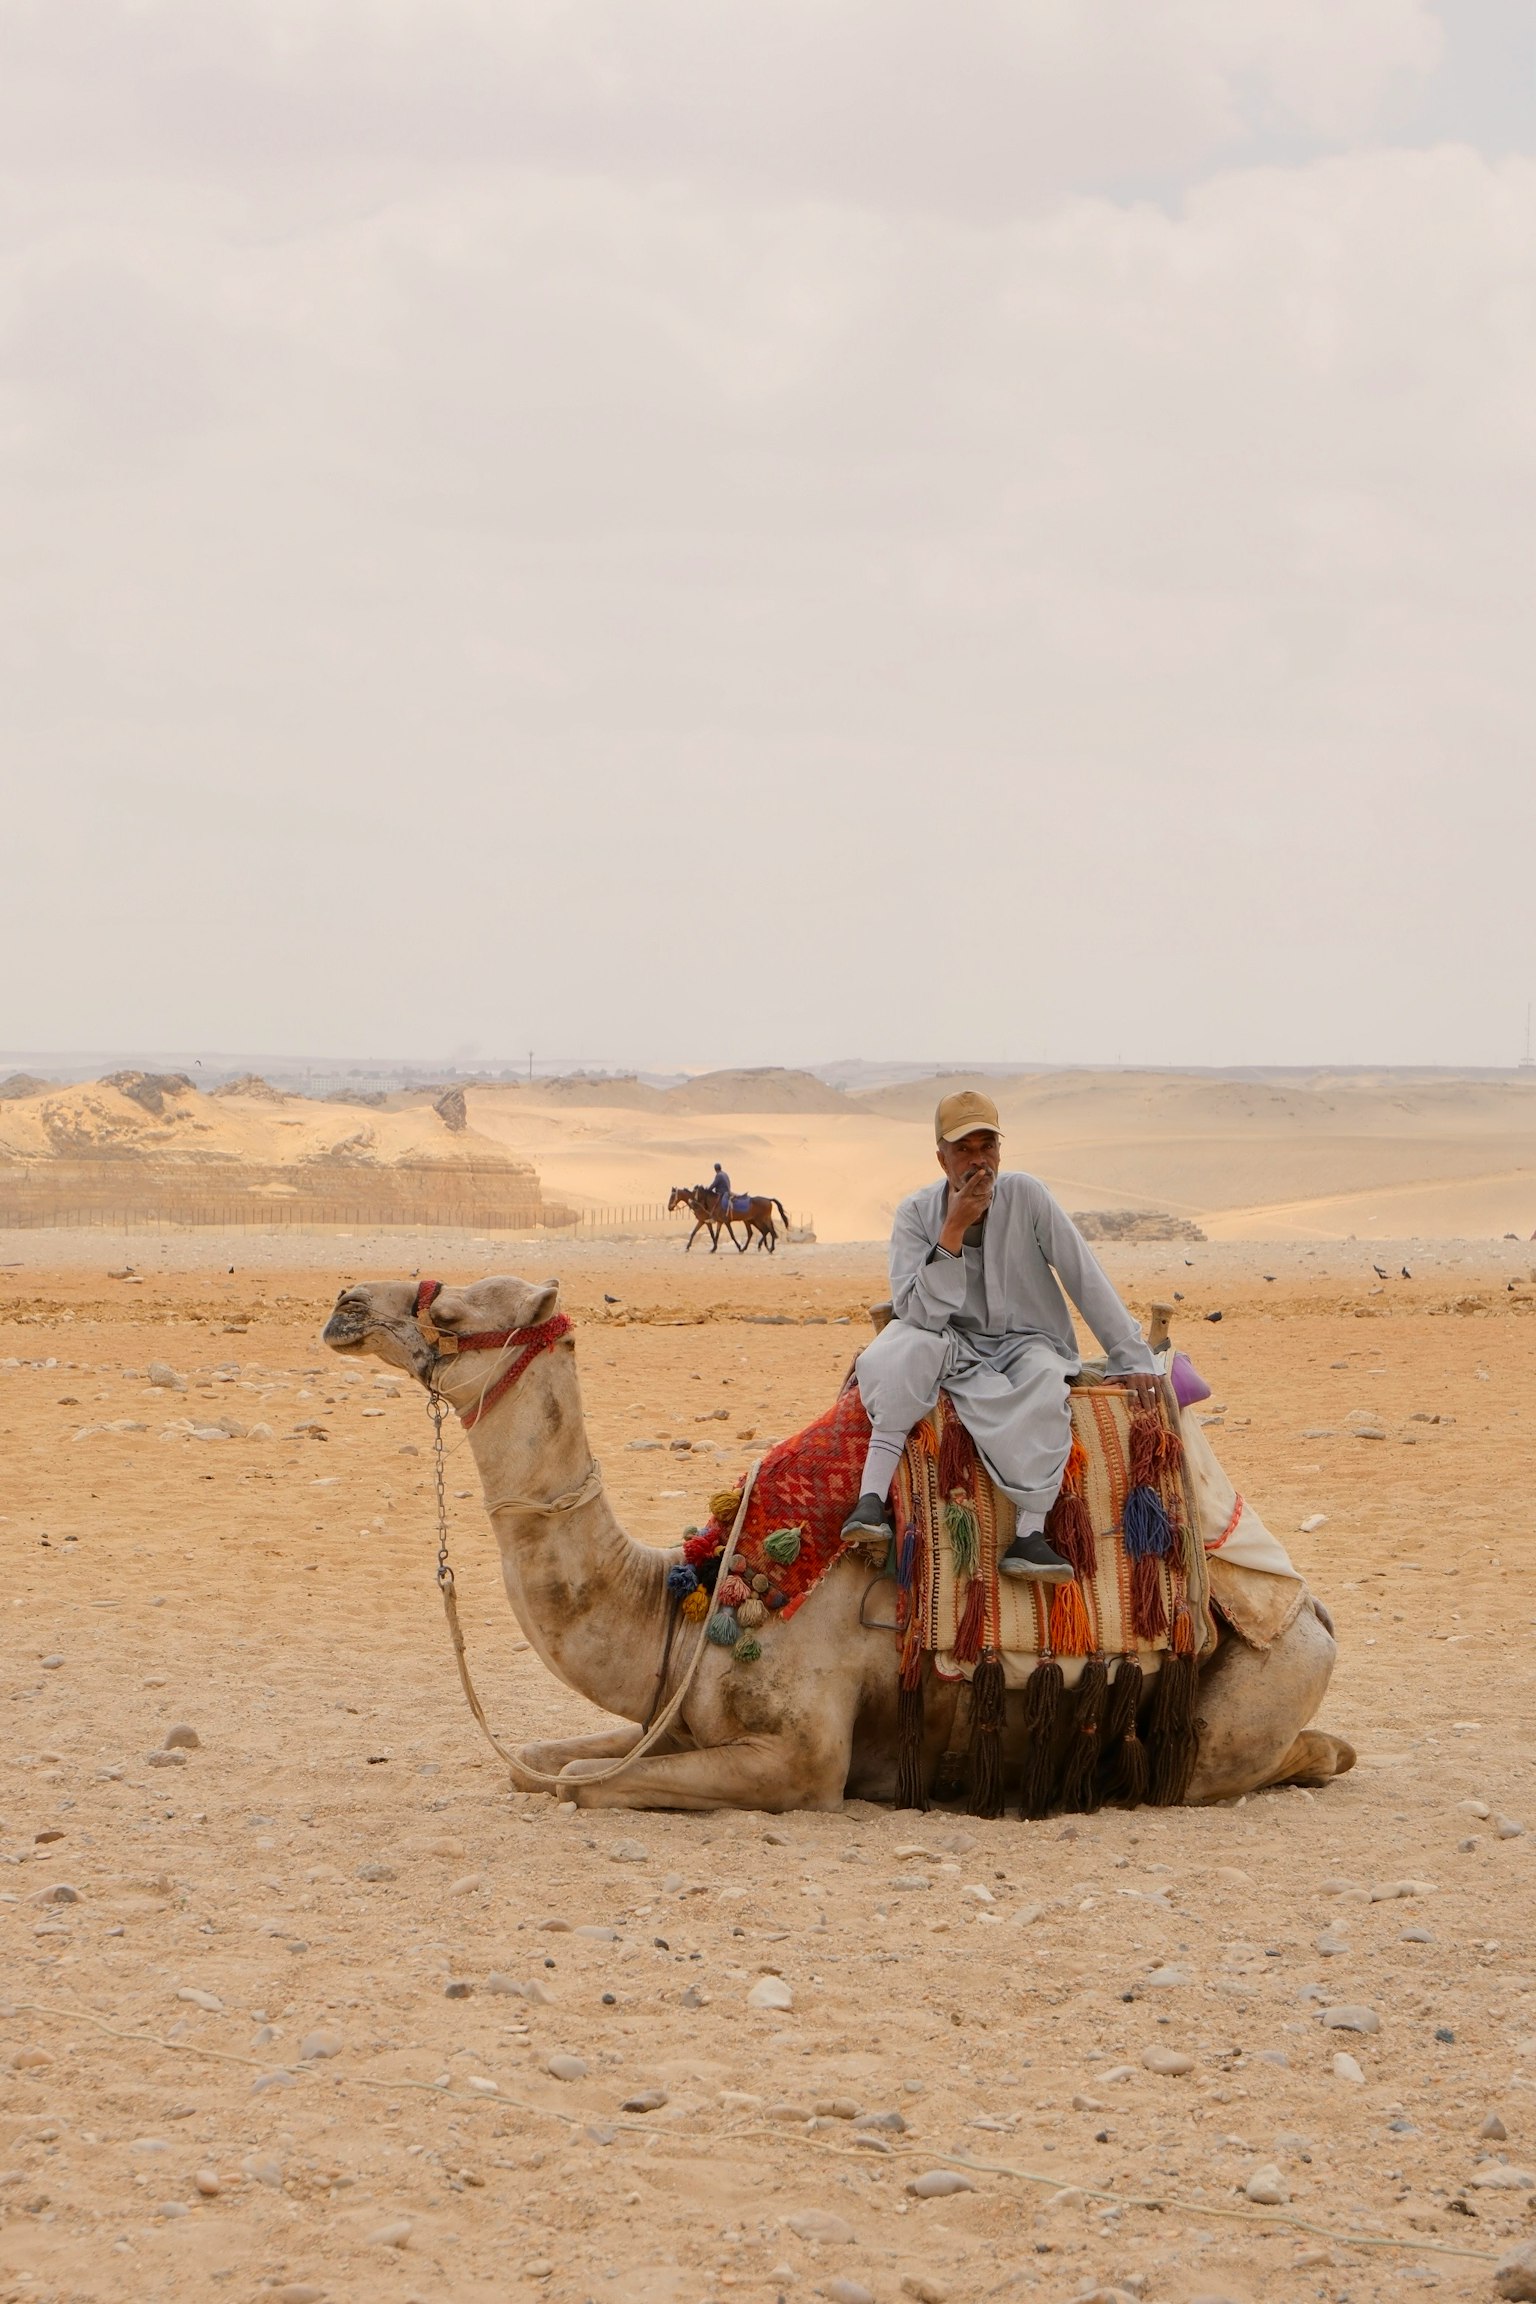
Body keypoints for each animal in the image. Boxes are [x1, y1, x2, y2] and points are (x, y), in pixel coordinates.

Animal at [322, 1274, 1355, 1814]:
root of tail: (1313, 1610)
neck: (689, 1601)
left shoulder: (804, 1758)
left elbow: (578, 1781)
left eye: (448, 1312)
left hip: (1254, 1690)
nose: (346, 1303)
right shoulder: (674, 1715)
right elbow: (540, 1760)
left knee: (1270, 1756)